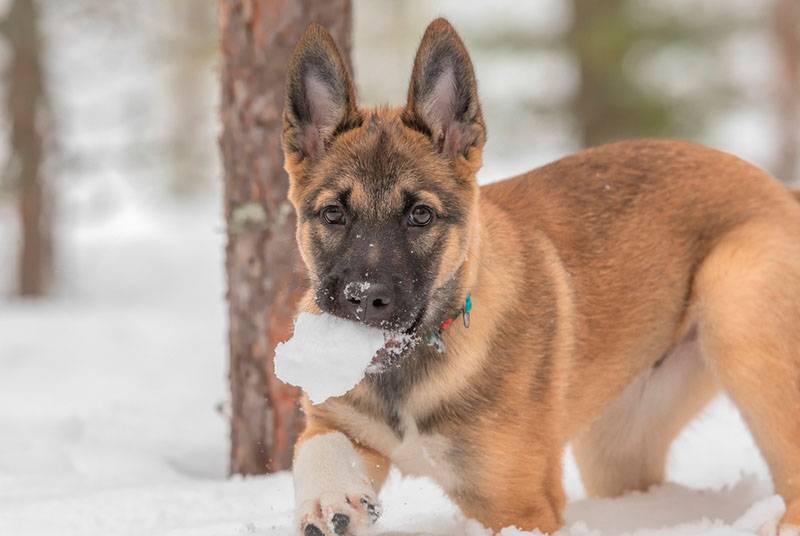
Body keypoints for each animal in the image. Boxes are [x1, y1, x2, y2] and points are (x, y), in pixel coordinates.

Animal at [280, 16, 800, 536]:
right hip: (616, 441)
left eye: (421, 216)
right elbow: (319, 447)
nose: (364, 298)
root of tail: (779, 189)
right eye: (332, 214)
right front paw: (332, 500)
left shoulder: (520, 506)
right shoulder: (337, 422)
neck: (413, 366)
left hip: (737, 319)